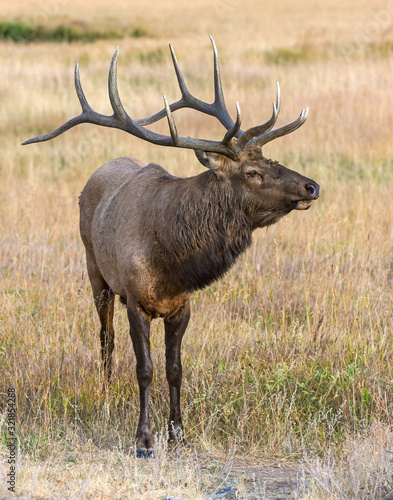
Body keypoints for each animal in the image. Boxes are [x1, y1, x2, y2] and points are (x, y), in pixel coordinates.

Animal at [23, 38, 318, 458]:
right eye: (253, 172)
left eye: (271, 160)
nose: (312, 186)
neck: (172, 261)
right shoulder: (136, 300)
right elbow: (144, 369)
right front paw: (143, 440)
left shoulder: (183, 305)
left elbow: (175, 369)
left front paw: (179, 433)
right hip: (94, 269)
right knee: (105, 338)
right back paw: (105, 396)